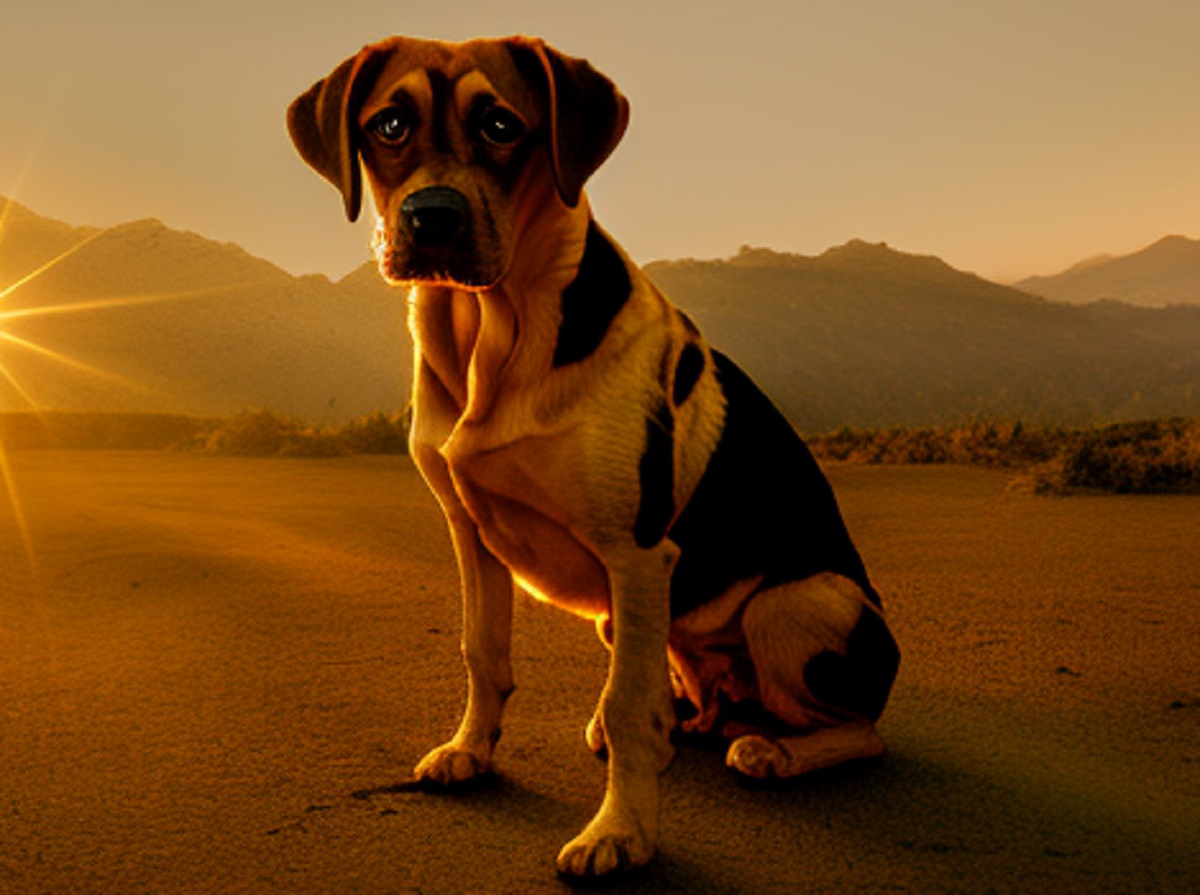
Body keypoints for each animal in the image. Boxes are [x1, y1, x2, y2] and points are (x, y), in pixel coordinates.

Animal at [285, 36, 897, 878]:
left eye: (503, 125)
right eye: (389, 124)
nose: (431, 217)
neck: (492, 333)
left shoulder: (637, 554)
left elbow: (629, 705)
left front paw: (619, 831)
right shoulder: (471, 532)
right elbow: (484, 651)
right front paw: (471, 749)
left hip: (796, 603)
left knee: (863, 731)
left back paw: (771, 750)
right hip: (636, 621)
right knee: (690, 698)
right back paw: (697, 718)